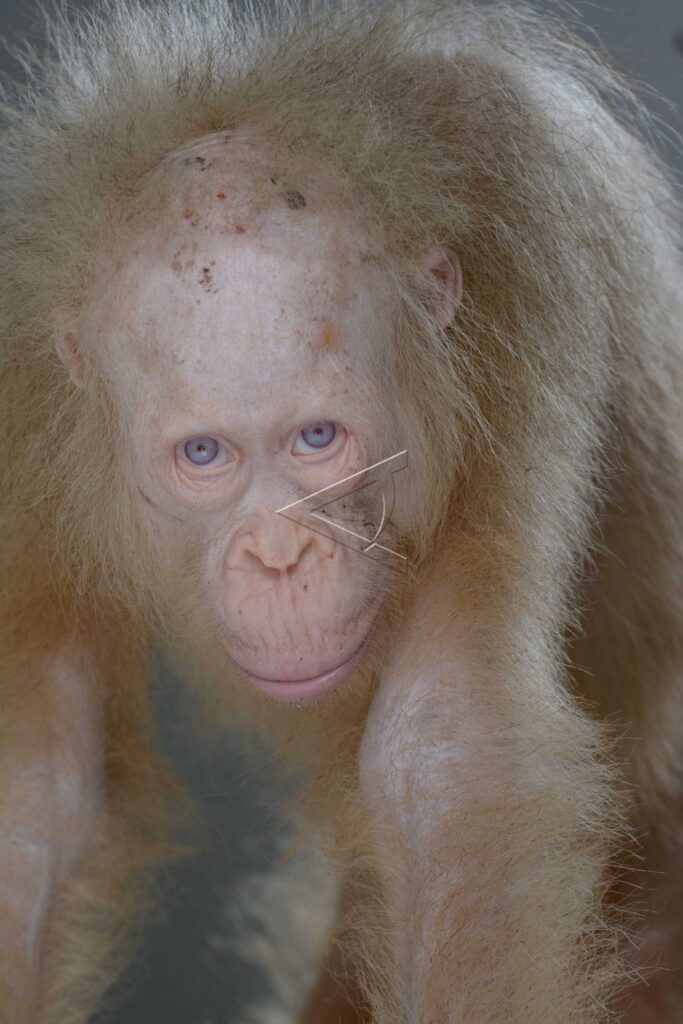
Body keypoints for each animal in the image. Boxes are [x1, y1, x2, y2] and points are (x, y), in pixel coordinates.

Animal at [0, 0, 682, 1021]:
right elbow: (40, 786)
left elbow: (437, 750)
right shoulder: (16, 404)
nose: (280, 554)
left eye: (317, 438)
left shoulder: (516, 286)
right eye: (204, 454)